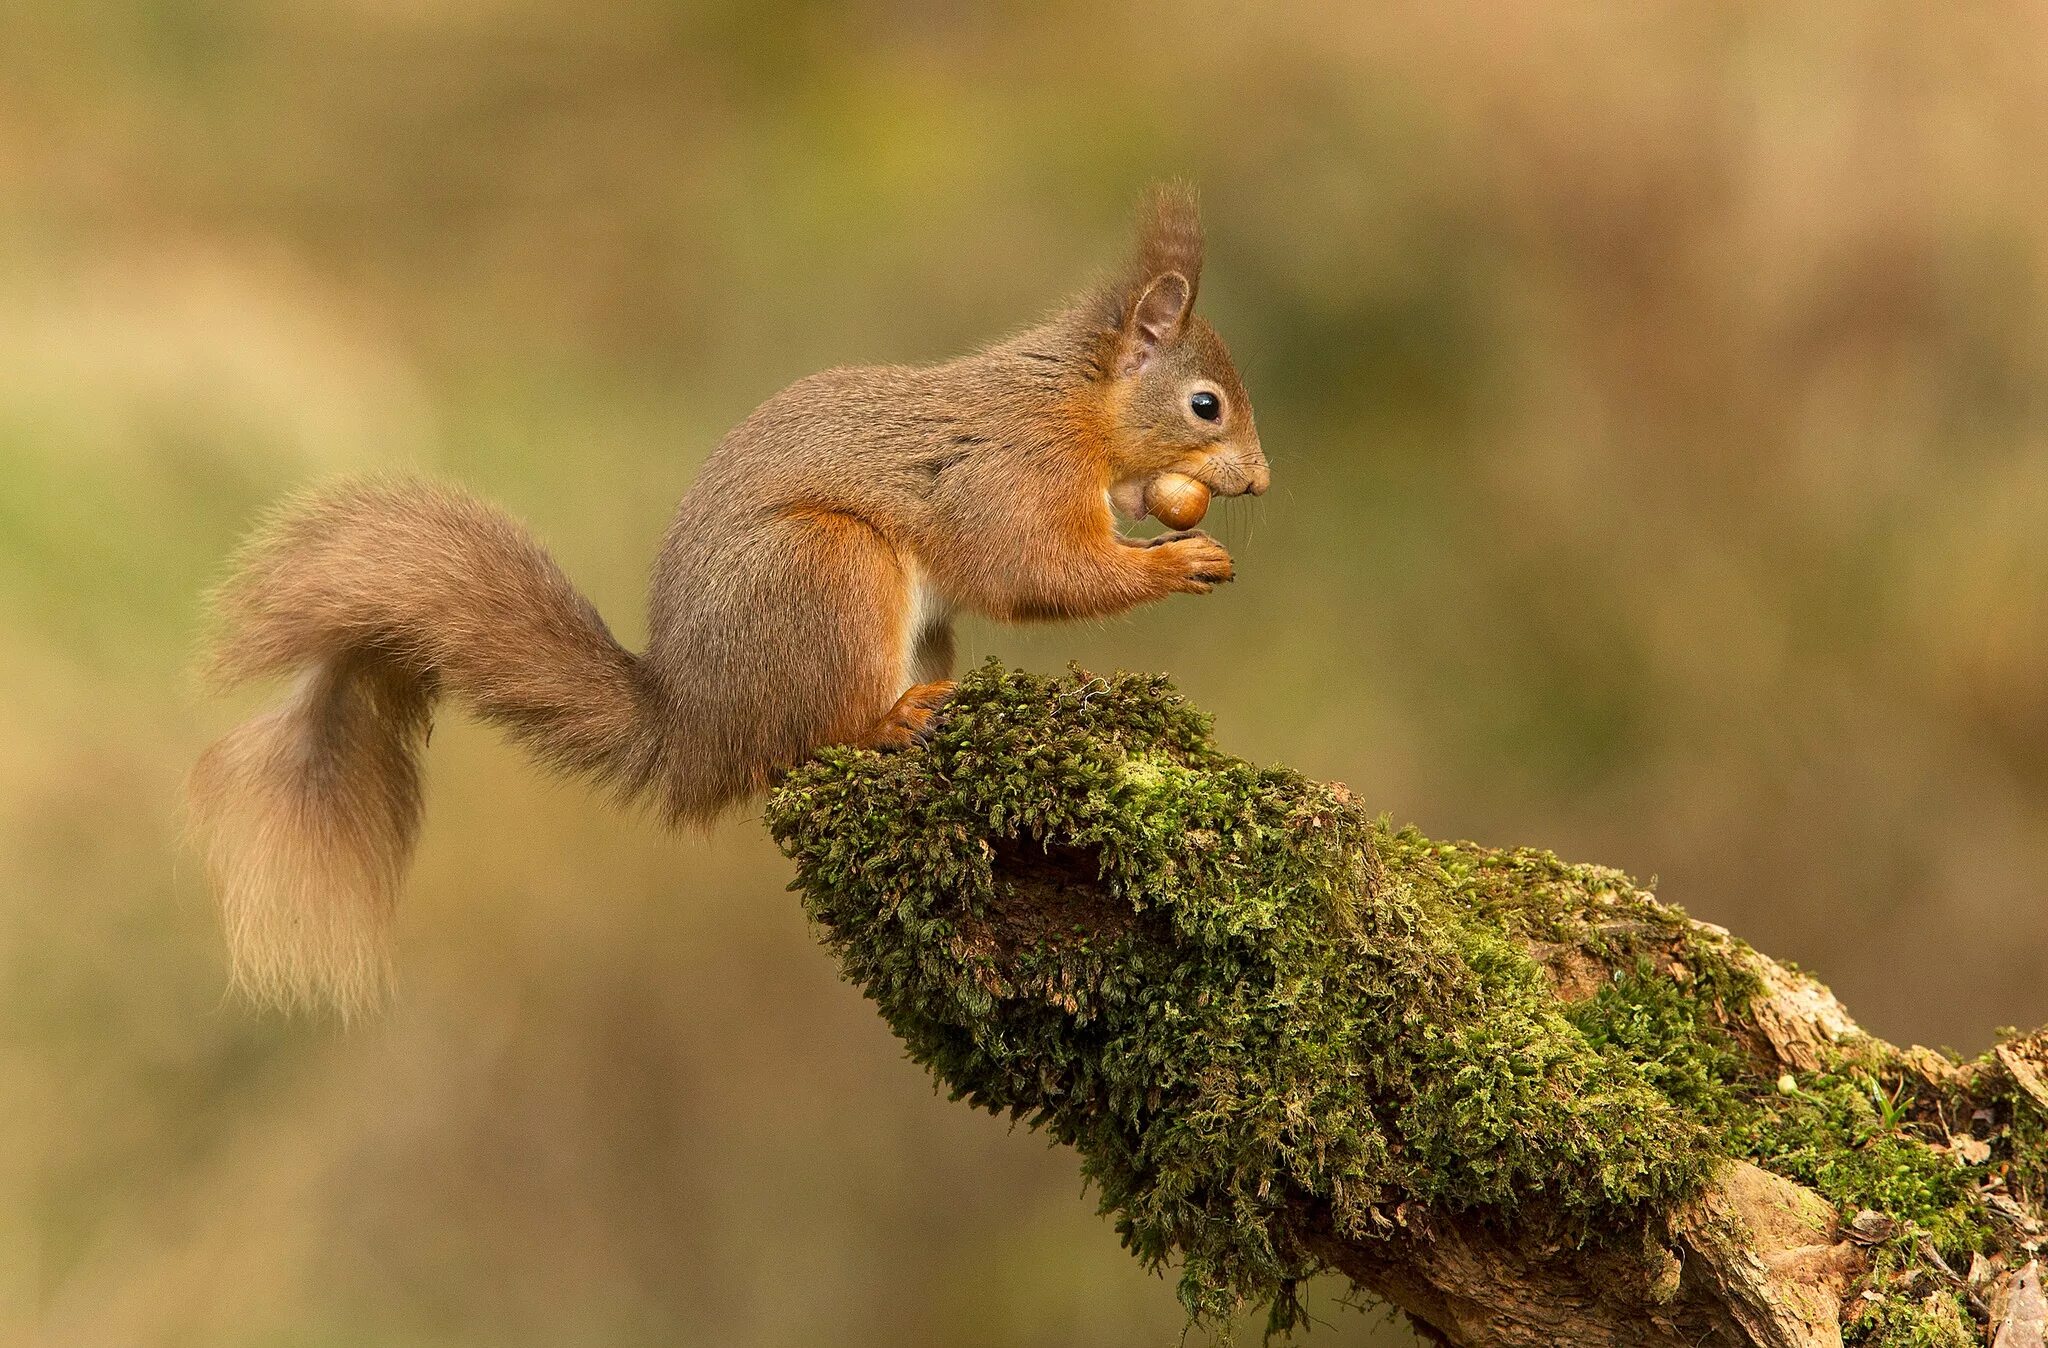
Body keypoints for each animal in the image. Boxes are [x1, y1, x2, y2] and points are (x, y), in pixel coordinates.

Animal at [188, 186, 1261, 1007]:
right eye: (1205, 405)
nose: (1258, 480)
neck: (1071, 407)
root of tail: (694, 727)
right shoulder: (1010, 475)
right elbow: (1035, 571)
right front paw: (1182, 561)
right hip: (829, 570)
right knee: (812, 739)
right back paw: (891, 720)